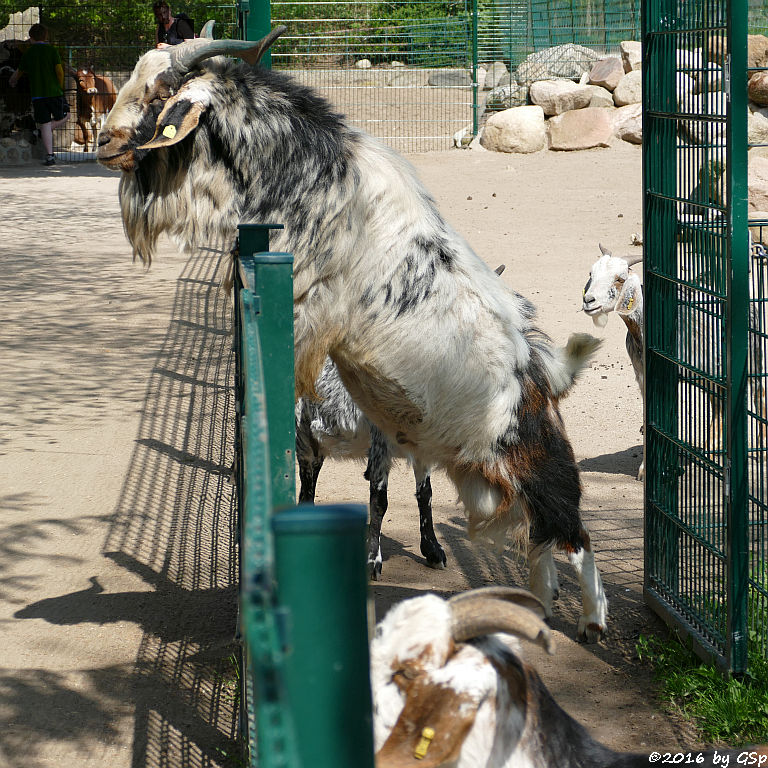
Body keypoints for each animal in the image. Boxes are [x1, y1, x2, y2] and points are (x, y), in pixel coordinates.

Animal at [96, 28, 608, 640]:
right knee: (539, 539)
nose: (103, 142)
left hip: (537, 459)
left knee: (574, 533)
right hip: (486, 471)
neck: (323, 173)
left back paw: (592, 621)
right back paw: (538, 608)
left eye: (158, 93)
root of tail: (544, 376)